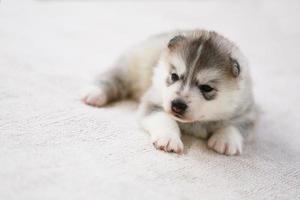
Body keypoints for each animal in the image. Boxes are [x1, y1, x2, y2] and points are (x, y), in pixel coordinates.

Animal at [81, 29, 255, 155]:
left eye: (206, 88)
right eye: (174, 76)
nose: (177, 105)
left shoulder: (248, 112)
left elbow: (235, 125)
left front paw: (226, 140)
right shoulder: (153, 101)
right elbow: (165, 119)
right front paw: (169, 139)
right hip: (129, 68)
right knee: (112, 76)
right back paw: (94, 92)